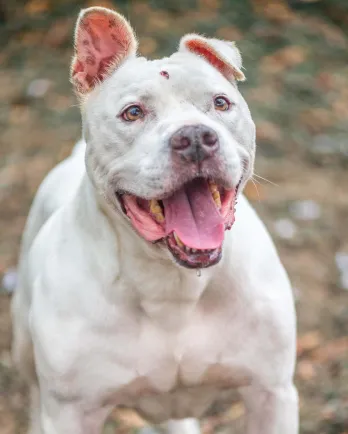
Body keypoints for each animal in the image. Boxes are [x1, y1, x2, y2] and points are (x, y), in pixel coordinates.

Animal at [10, 6, 300, 434]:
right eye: (133, 112)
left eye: (221, 103)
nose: (195, 137)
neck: (172, 285)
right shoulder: (70, 412)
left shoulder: (272, 394)